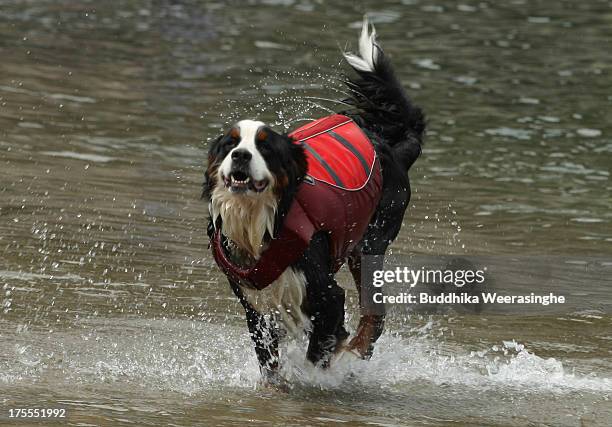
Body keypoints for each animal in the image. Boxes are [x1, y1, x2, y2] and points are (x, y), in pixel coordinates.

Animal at [203, 17, 424, 384]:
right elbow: (270, 363)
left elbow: (319, 351)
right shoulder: (255, 307)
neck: (258, 222)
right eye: (229, 144)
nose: (241, 155)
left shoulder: (327, 295)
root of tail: (389, 146)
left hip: (369, 243)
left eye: (265, 146)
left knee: (374, 315)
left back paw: (357, 352)